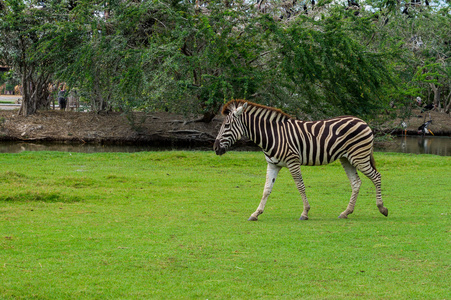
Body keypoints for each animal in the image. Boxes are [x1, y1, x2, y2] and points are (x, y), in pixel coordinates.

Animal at [215, 101, 388, 220]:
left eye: (227, 125)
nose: (215, 148)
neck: (272, 135)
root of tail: (363, 121)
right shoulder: (272, 165)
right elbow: (266, 189)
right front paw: (256, 213)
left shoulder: (293, 162)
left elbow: (300, 186)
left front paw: (305, 213)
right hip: (346, 159)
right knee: (356, 182)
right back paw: (346, 212)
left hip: (359, 157)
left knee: (377, 177)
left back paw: (382, 208)